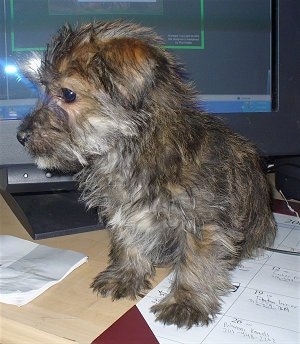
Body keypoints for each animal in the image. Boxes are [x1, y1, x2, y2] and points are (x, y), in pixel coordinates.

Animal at [17, 21, 276, 328]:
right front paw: (125, 276)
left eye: (68, 94)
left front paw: (186, 301)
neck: (128, 149)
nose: (20, 136)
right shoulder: (123, 211)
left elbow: (196, 262)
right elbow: (128, 242)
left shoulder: (203, 221)